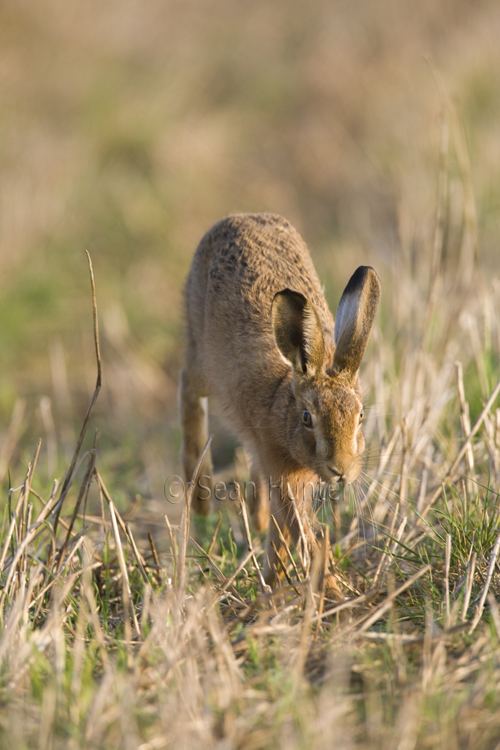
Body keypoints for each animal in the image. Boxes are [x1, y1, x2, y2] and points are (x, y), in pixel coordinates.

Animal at [179, 213, 381, 598]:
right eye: (307, 418)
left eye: (360, 416)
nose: (341, 469)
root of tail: (239, 217)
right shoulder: (281, 471)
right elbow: (299, 530)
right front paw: (332, 590)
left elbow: (284, 532)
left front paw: (272, 584)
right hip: (200, 354)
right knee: (188, 393)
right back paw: (199, 499)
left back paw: (254, 519)